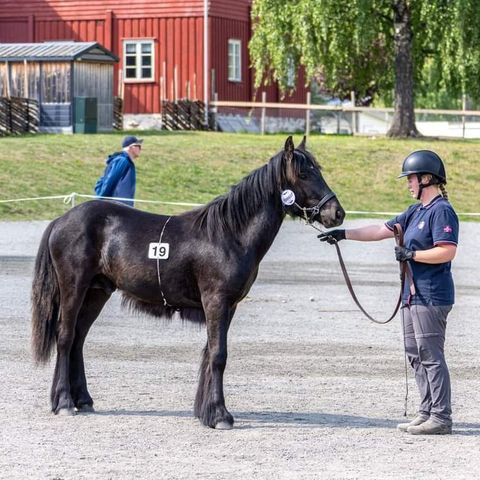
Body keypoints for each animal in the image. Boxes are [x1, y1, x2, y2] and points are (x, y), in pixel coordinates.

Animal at [31, 137, 344, 430]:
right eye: (303, 173)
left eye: (318, 169)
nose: (337, 213)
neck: (229, 234)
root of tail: (61, 220)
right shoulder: (216, 301)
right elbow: (218, 355)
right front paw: (220, 414)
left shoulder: (227, 306)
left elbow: (209, 353)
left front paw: (205, 411)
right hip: (74, 287)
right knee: (65, 336)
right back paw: (64, 402)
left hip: (97, 292)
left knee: (79, 338)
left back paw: (82, 399)